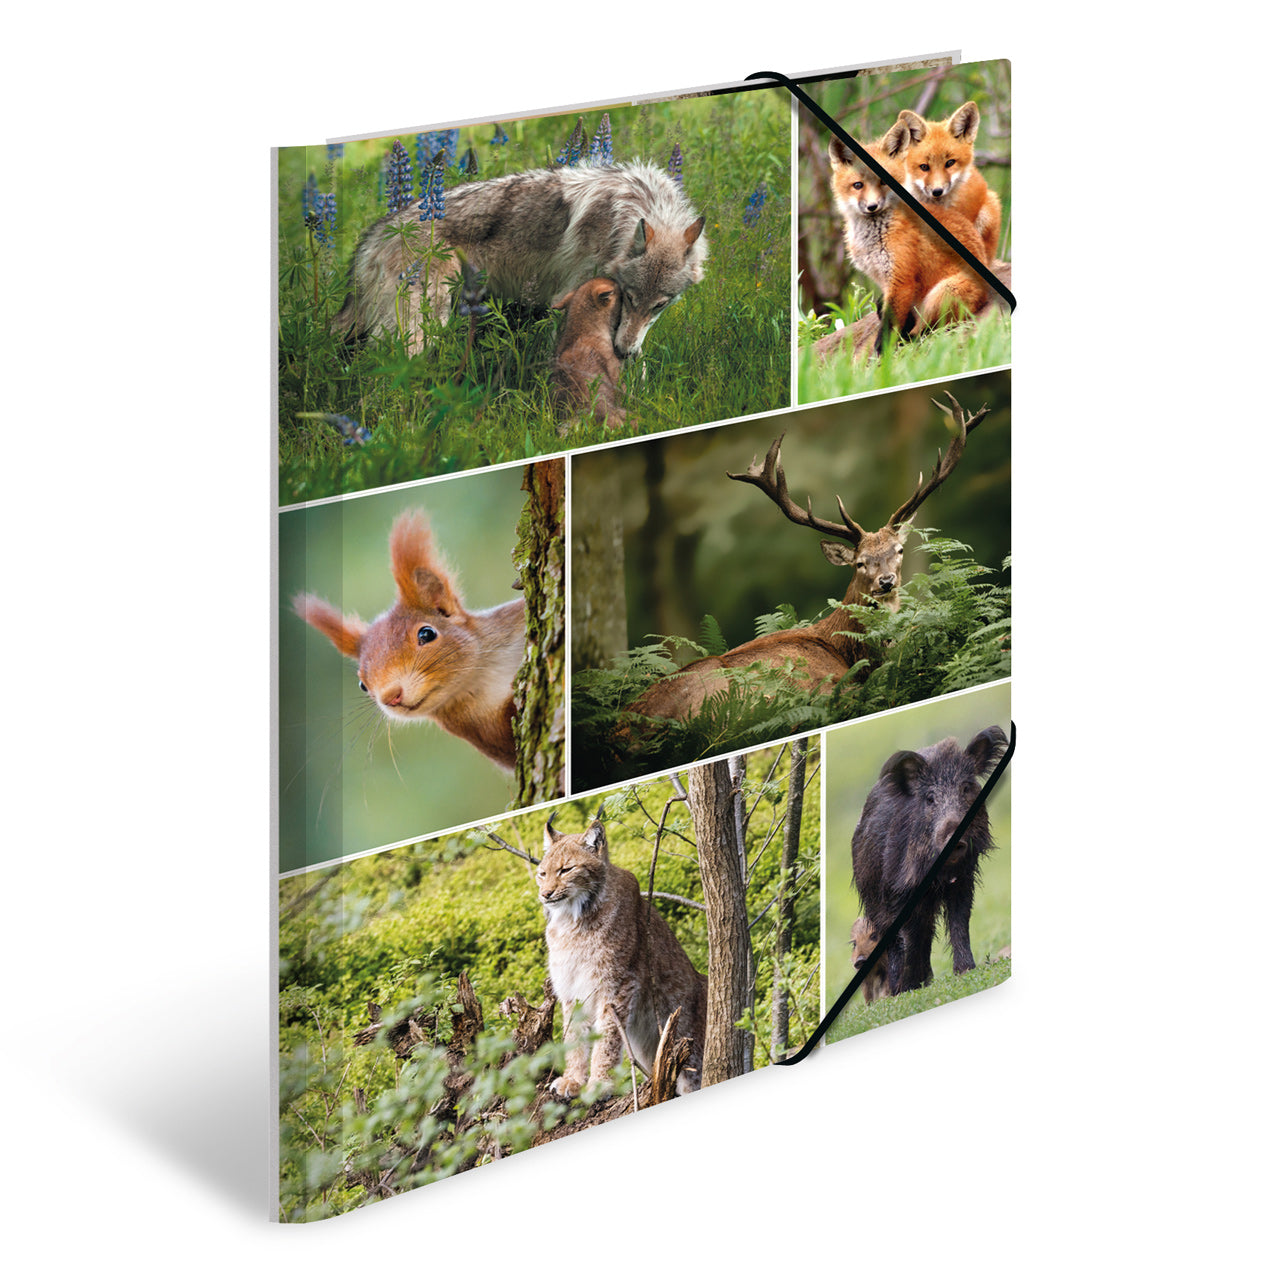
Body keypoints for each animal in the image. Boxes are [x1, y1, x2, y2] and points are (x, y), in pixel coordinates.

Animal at [332, 161, 707, 357]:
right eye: (630, 296)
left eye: (659, 305)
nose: (624, 352)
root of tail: (376, 233)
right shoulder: (569, 298)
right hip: (421, 330)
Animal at [828, 136, 990, 341]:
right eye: (858, 185)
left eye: (884, 182)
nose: (872, 206)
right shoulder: (884, 281)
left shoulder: (901, 280)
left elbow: (888, 330)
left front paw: (884, 349)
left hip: (941, 294)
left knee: (924, 332)